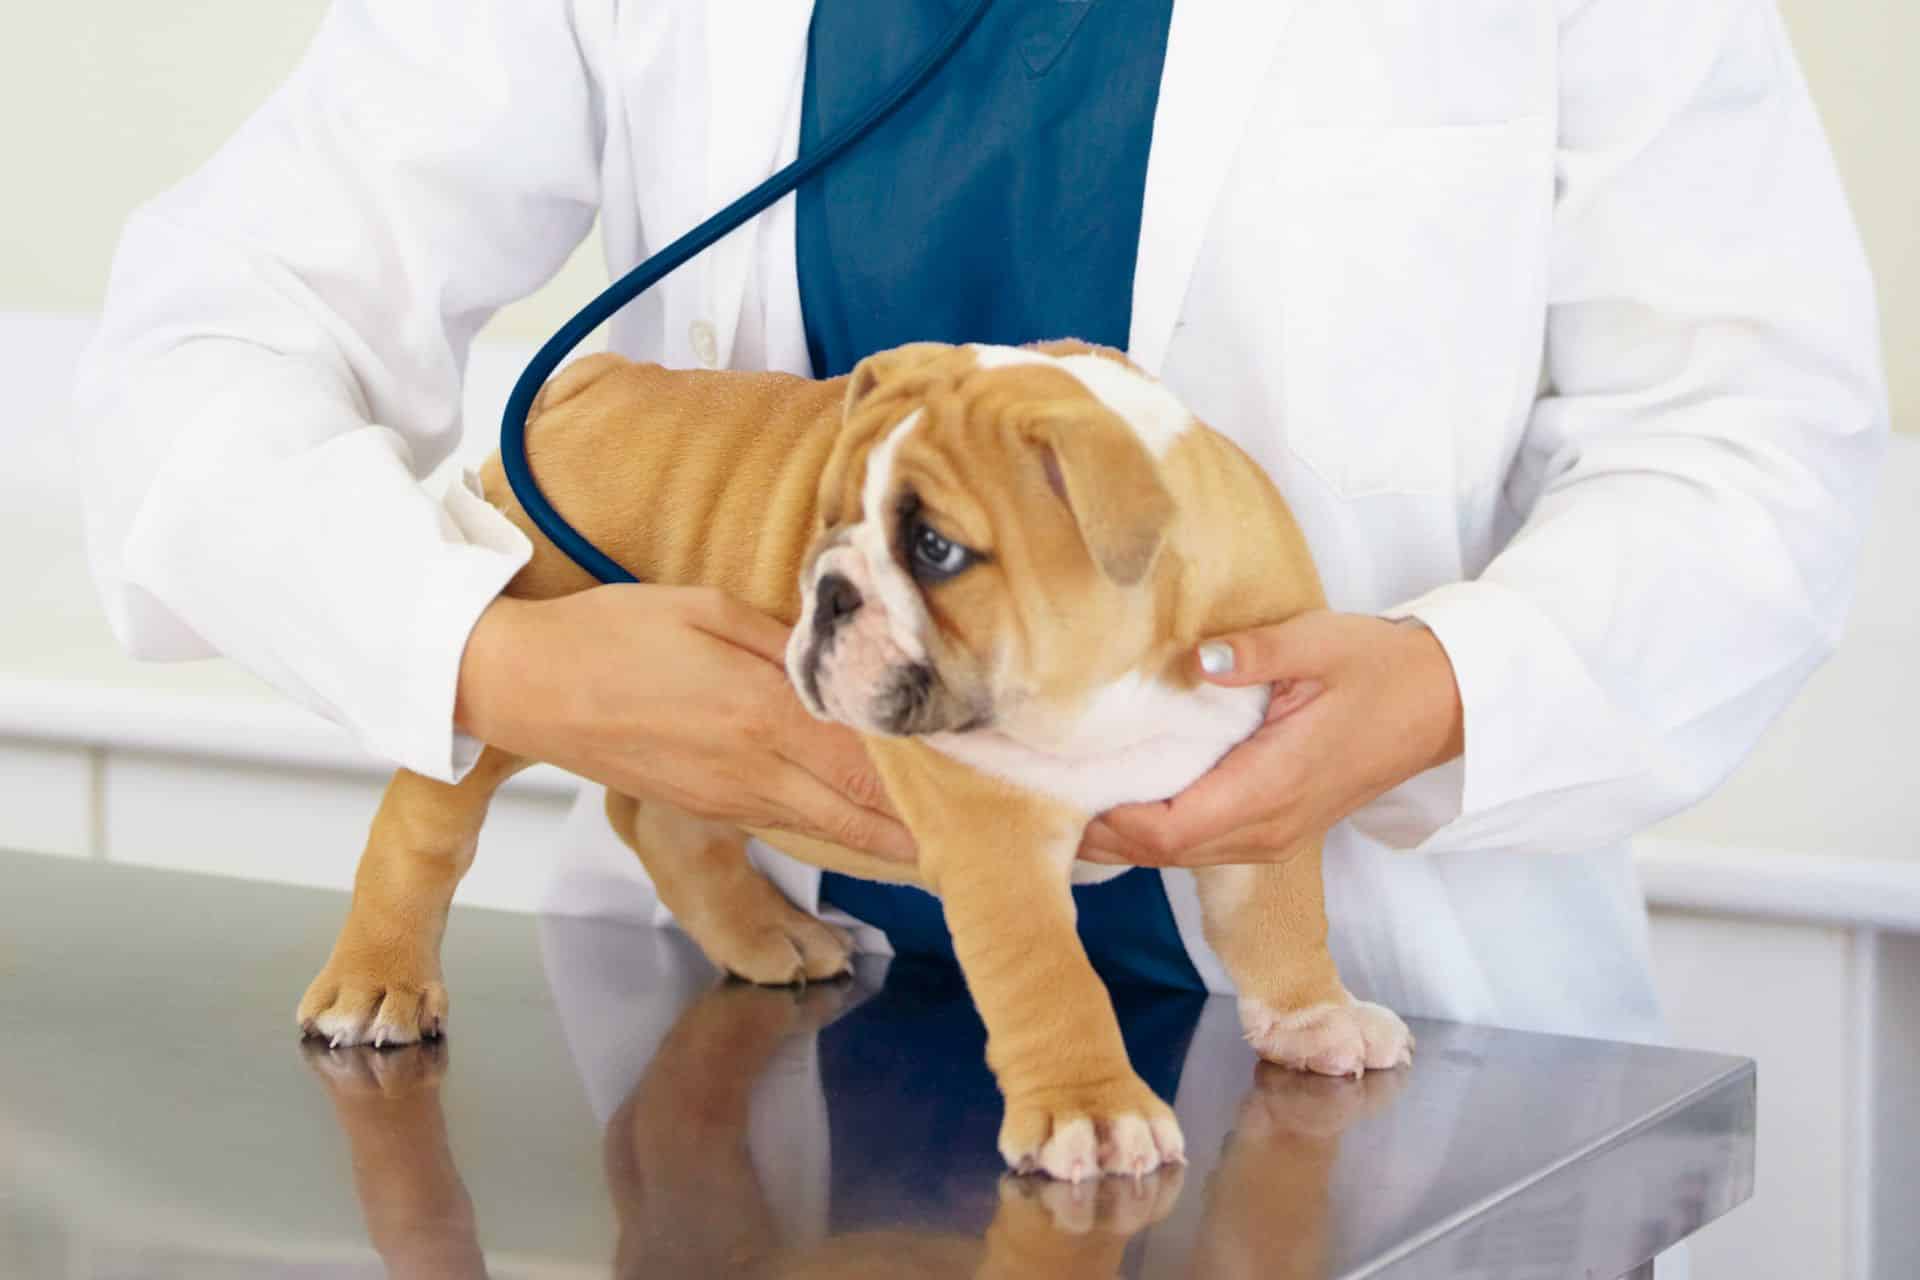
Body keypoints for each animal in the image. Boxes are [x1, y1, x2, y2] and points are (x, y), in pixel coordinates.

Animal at [297, 339, 1412, 1181]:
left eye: (936, 549)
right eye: (828, 520)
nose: (827, 587)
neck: (1110, 684)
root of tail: (593, 381)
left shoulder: (1264, 779)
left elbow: (1279, 917)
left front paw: (1315, 1016)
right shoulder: (993, 835)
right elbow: (1051, 975)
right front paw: (1092, 1111)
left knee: (659, 817)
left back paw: (767, 938)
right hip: (514, 672)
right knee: (425, 821)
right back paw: (378, 981)